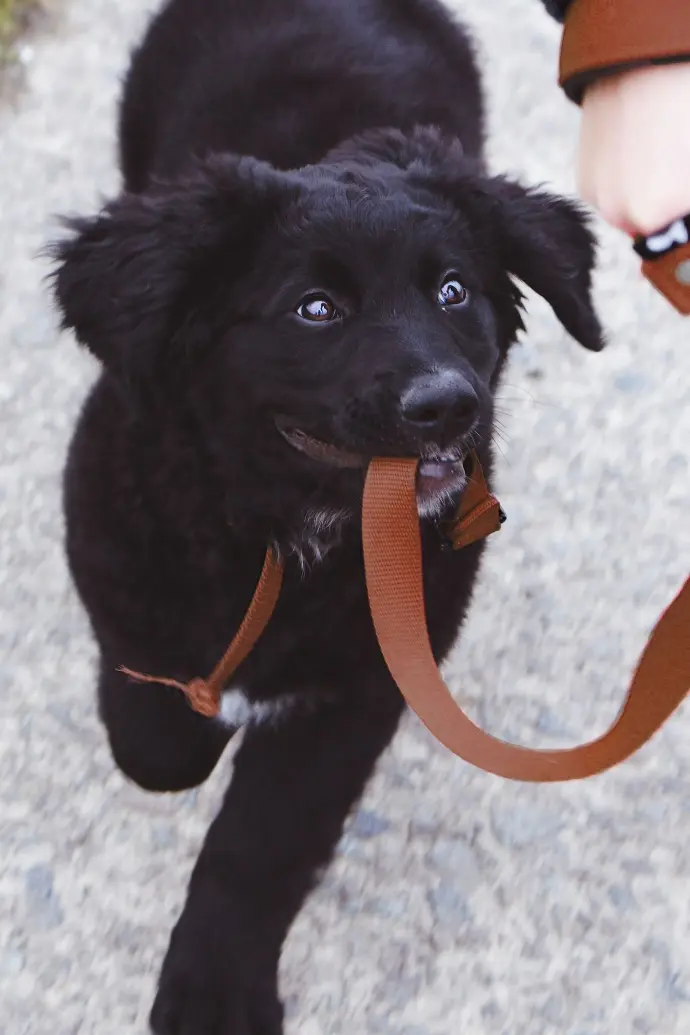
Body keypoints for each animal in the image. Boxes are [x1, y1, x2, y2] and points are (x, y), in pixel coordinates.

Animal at [51, 2, 604, 1035]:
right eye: (316, 309)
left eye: (454, 291)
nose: (448, 405)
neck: (288, 527)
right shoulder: (121, 564)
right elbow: (154, 742)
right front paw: (195, 725)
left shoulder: (365, 682)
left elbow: (258, 847)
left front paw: (212, 990)